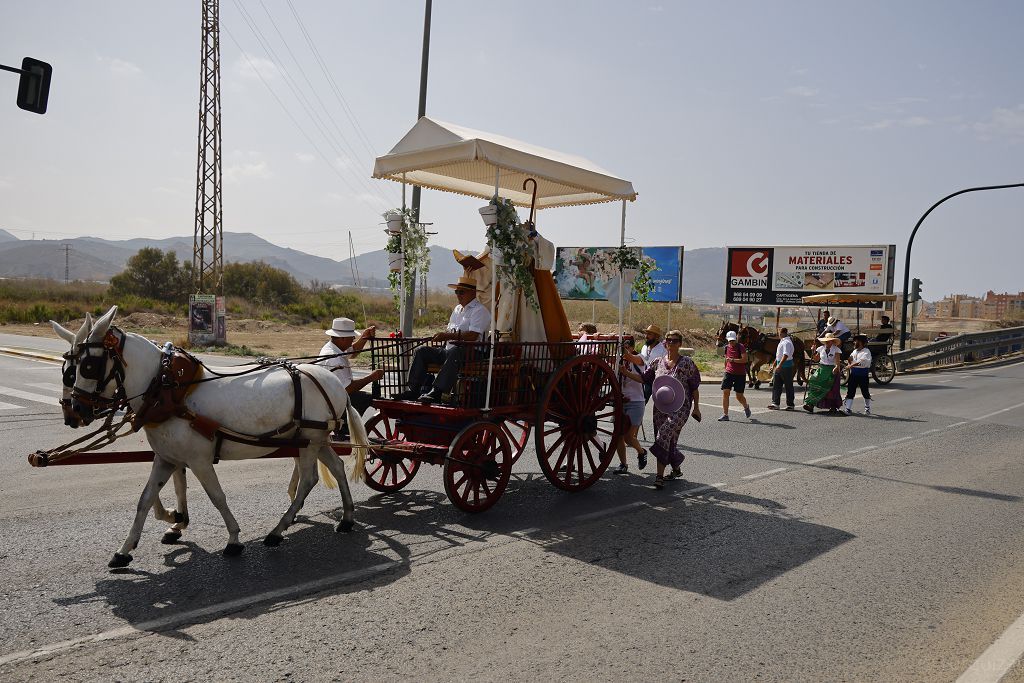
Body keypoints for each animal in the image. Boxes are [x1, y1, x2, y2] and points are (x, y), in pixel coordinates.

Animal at [57, 307, 368, 569]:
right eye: (70, 370)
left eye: (88, 367)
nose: (77, 411)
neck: (168, 389)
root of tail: (333, 383)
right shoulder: (166, 458)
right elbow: (145, 500)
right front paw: (125, 550)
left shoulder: (199, 460)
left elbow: (216, 496)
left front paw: (233, 539)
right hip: (317, 439)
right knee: (337, 468)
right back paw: (347, 517)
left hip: (310, 441)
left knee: (308, 480)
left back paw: (278, 531)